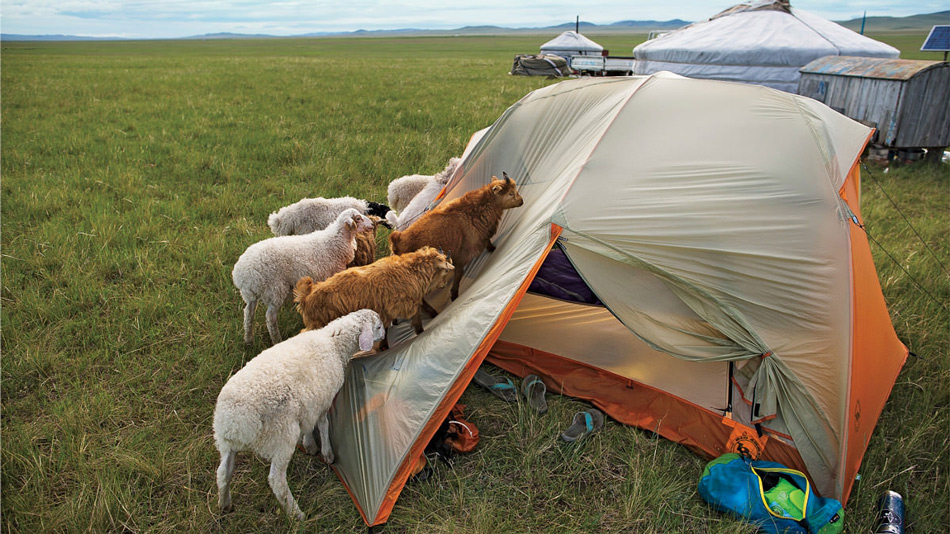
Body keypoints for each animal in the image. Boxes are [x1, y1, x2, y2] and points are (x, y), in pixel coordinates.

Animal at [216, 310, 386, 524]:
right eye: (378, 326)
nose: (385, 333)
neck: (333, 344)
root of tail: (236, 423)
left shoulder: (309, 403)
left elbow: (308, 426)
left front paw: (310, 445)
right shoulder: (324, 399)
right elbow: (323, 424)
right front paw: (327, 453)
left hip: (225, 443)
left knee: (223, 473)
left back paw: (225, 504)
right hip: (281, 437)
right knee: (277, 482)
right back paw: (297, 514)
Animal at [234, 207, 376, 346]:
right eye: (358, 218)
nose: (372, 225)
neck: (335, 240)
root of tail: (242, 273)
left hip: (251, 295)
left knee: (248, 314)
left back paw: (248, 340)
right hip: (274, 289)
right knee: (270, 317)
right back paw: (276, 340)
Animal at [294, 247, 458, 352]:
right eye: (445, 271)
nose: (444, 285)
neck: (410, 271)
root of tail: (305, 296)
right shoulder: (401, 306)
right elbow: (416, 318)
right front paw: (420, 331)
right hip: (317, 325)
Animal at [386, 173, 524, 304]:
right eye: (511, 193)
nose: (522, 201)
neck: (474, 210)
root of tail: (397, 241)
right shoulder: (462, 255)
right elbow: (458, 276)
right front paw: (454, 295)